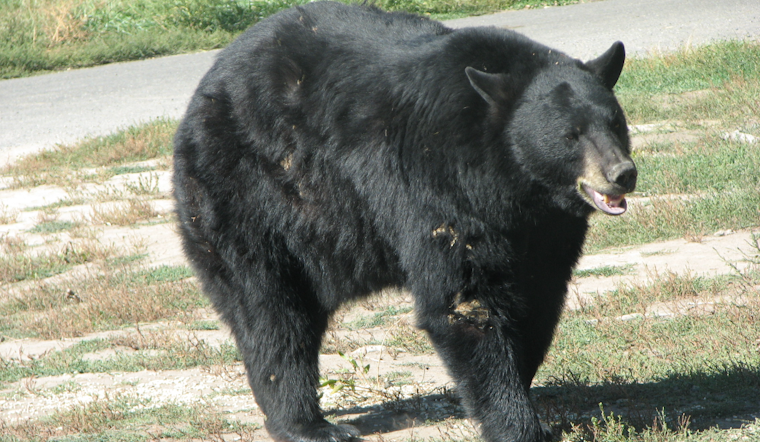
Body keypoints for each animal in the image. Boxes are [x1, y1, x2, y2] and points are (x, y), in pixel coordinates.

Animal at [172, 2, 637, 442]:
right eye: (571, 135)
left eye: (615, 121)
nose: (622, 173)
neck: (512, 182)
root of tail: (202, 91)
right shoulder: (438, 186)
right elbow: (464, 302)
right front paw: (518, 423)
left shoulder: (546, 228)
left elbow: (539, 297)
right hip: (247, 194)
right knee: (271, 312)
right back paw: (308, 424)